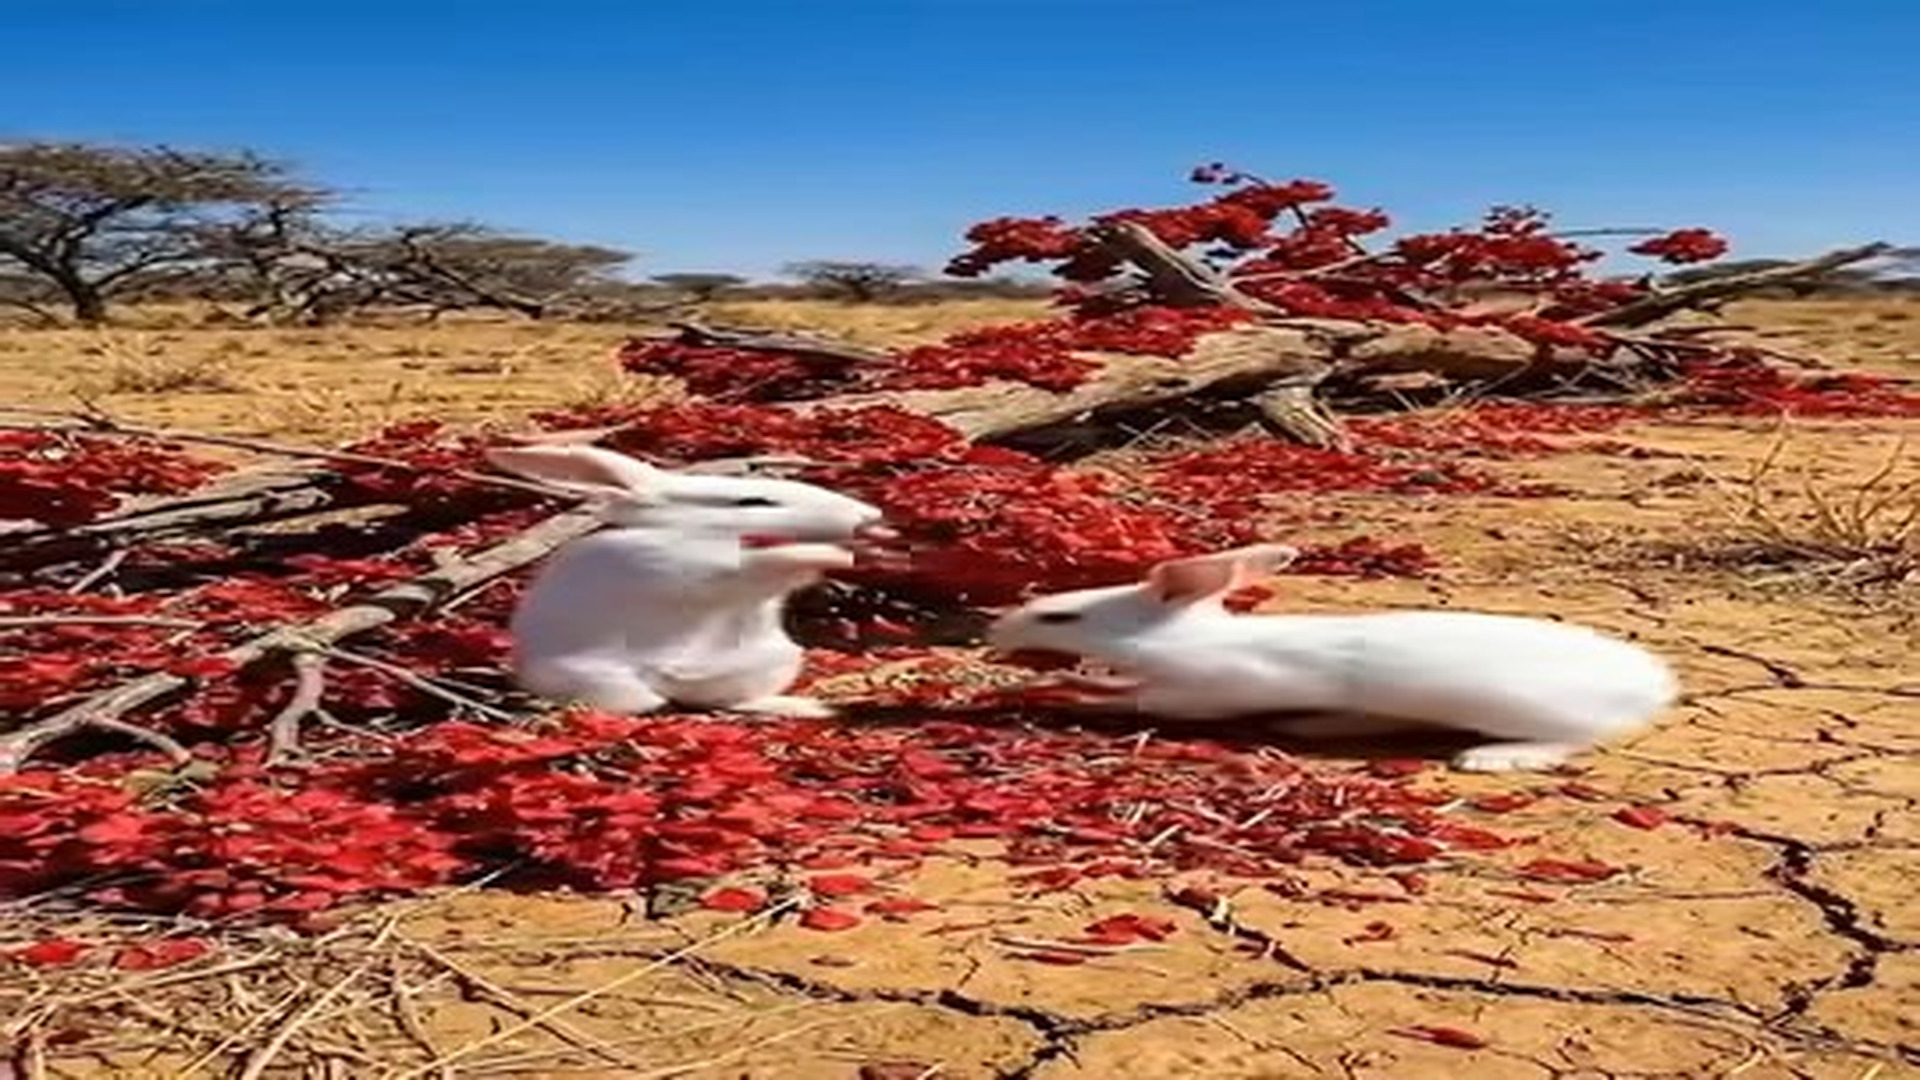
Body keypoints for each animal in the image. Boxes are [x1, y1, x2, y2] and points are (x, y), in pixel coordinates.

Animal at [483, 444, 895, 719]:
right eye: (754, 502)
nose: (868, 515)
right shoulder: (687, 567)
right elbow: (753, 565)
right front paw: (835, 554)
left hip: (777, 659)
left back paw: (800, 706)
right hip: (595, 677)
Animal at [983, 543, 1679, 773]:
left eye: (1060, 618)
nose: (994, 632)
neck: (1184, 638)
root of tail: (1654, 686)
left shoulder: (1203, 694)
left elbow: (1137, 698)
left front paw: (1054, 691)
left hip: (1531, 713)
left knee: (1577, 737)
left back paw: (1492, 759)